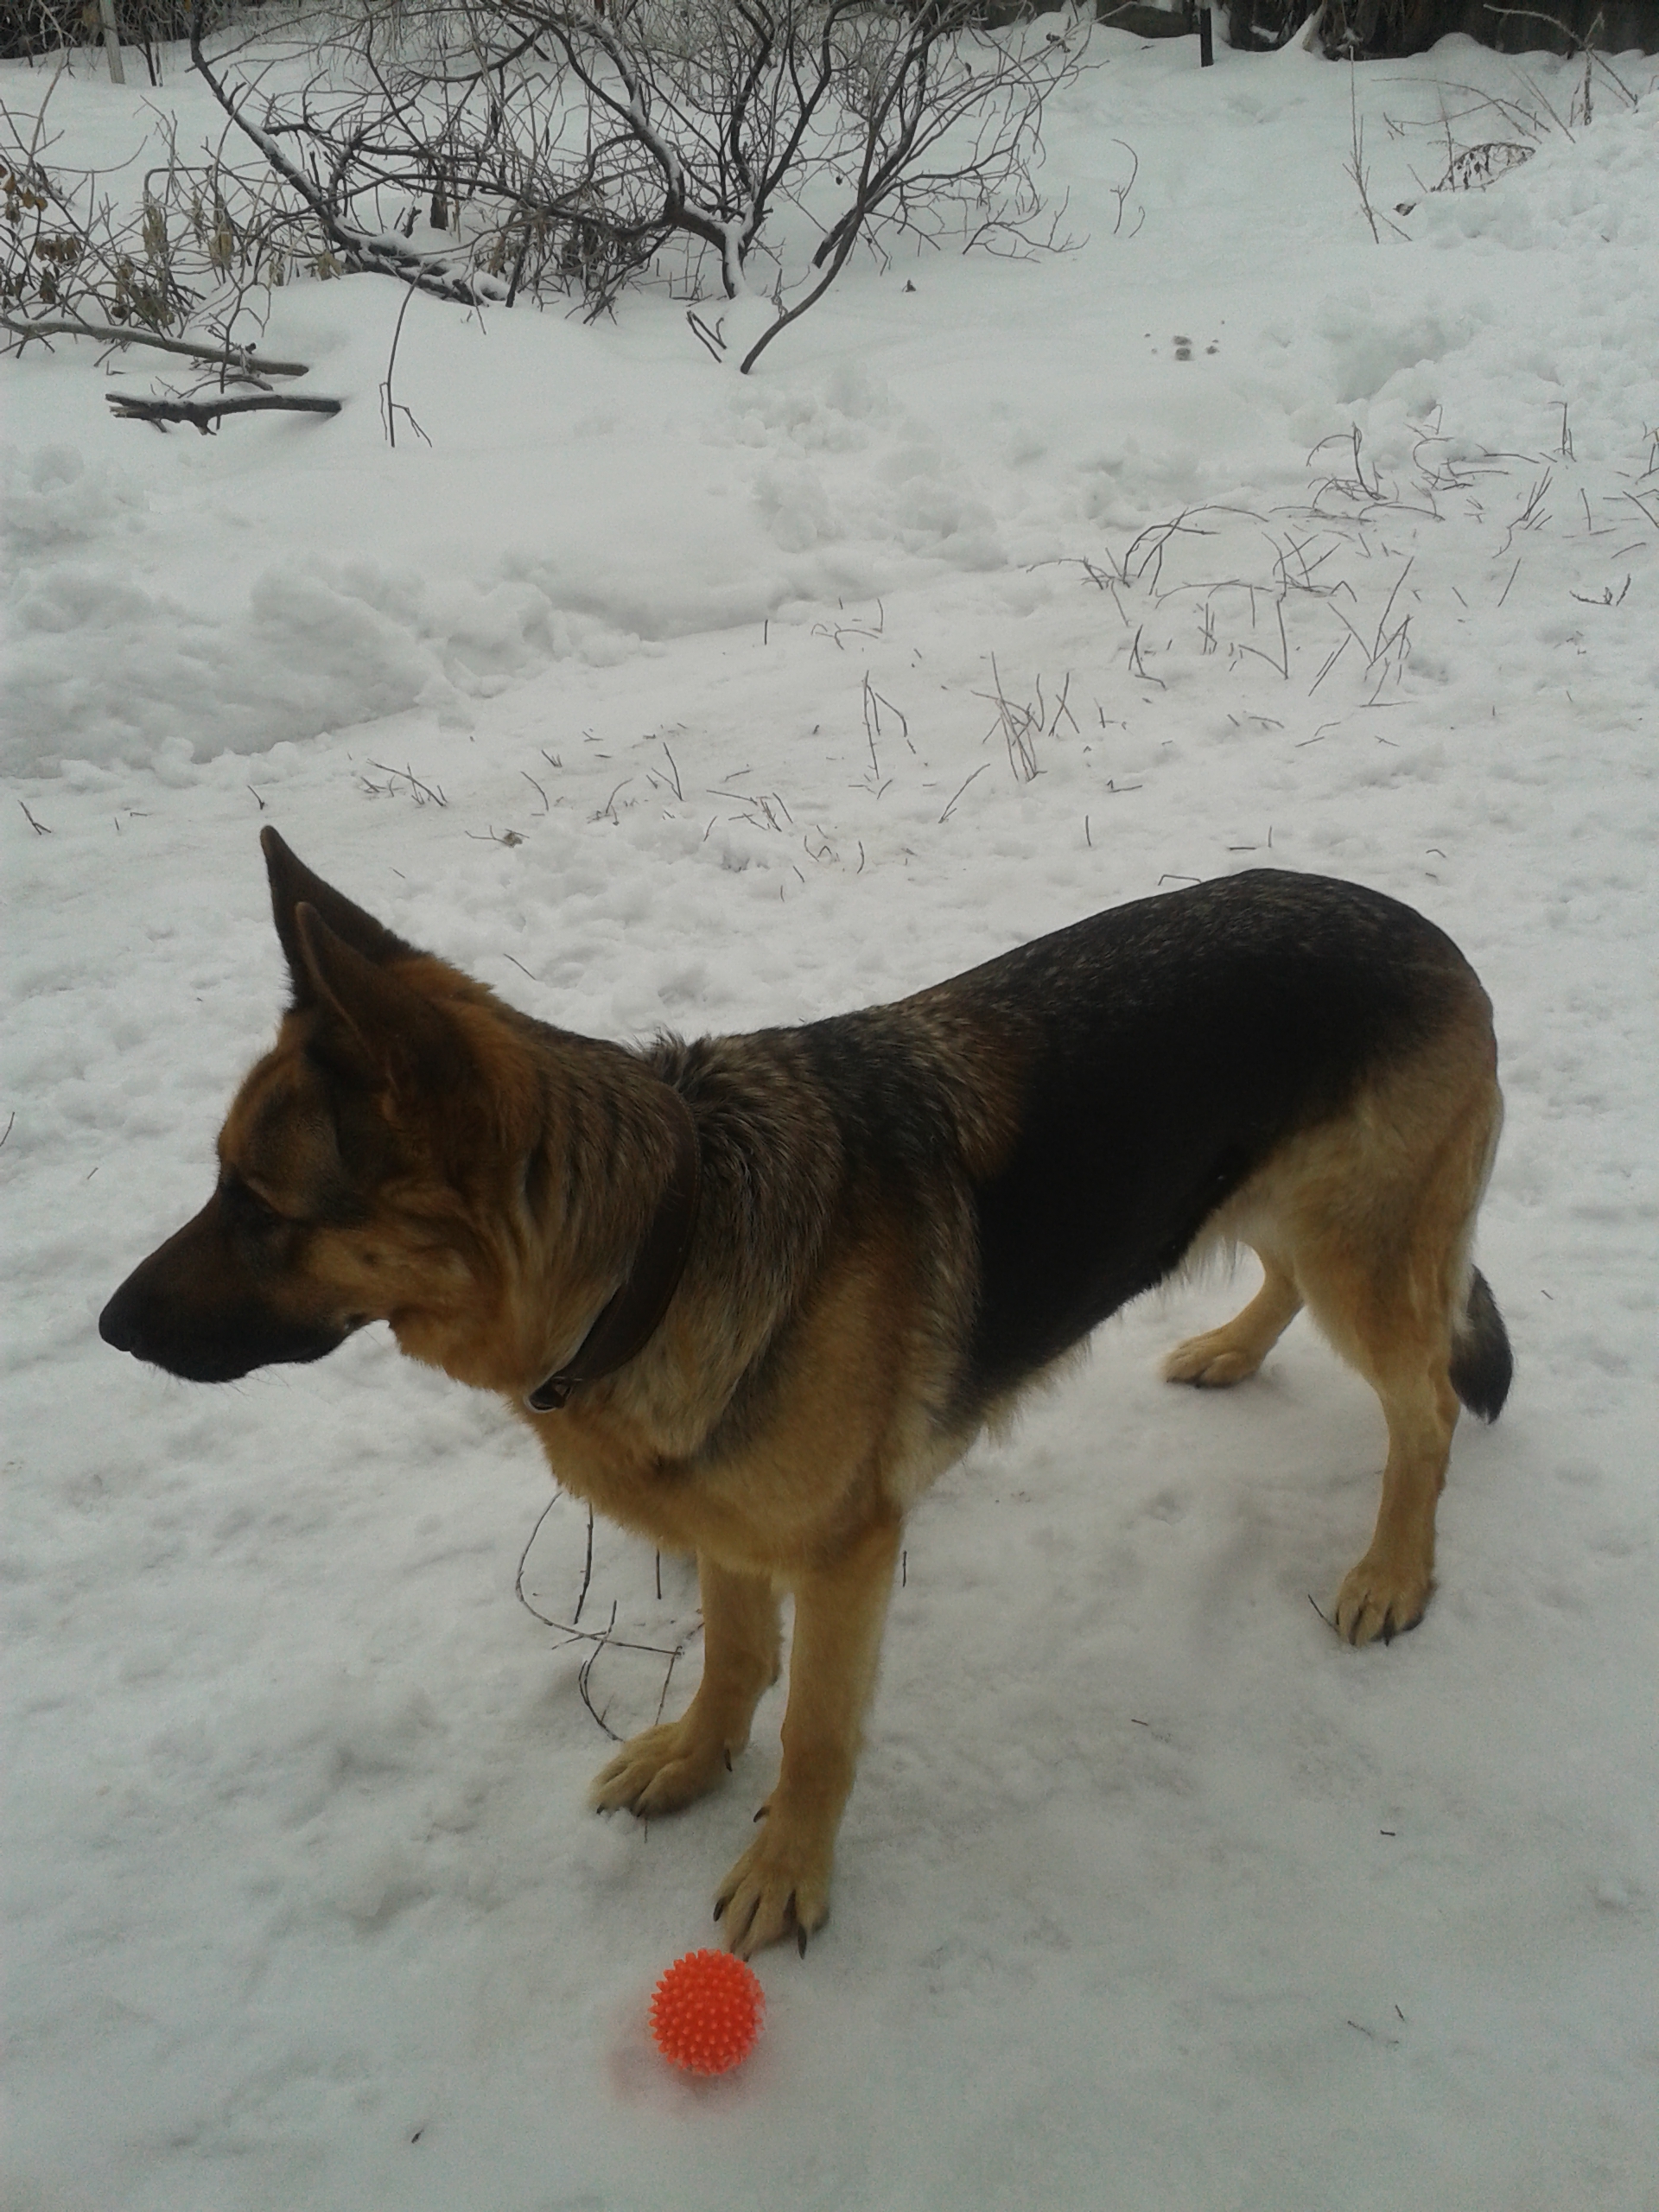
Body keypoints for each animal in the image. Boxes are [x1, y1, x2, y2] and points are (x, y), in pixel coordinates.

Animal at [100, 829, 1511, 1955]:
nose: (107, 1328)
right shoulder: (731, 1523)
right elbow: (731, 1660)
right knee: (1285, 1281)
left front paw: (787, 1871)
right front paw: (693, 1758)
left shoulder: (847, 1557)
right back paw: (1230, 1349)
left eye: (257, 1207)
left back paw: (1393, 1569)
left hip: (1358, 1250)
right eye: (221, 1185)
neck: (657, 1250)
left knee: (1429, 1408)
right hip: (1284, 1210)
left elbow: (816, 1734)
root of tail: (1427, 931)